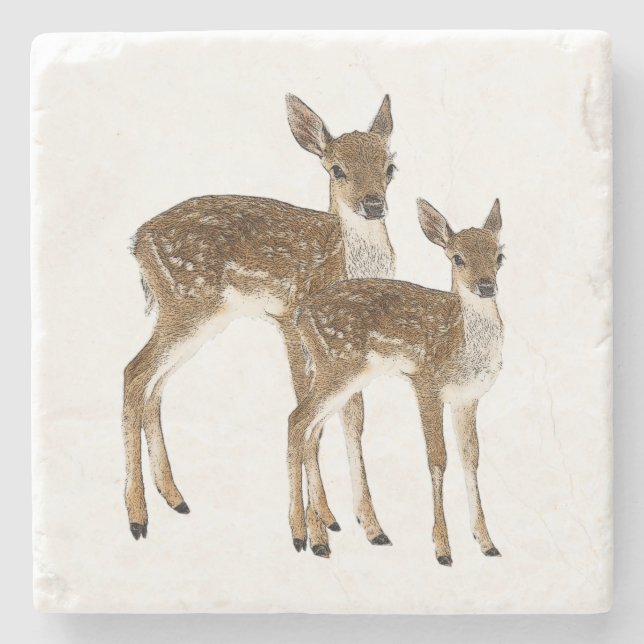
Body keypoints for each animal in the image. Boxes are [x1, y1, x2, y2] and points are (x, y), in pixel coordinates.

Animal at [122, 94, 398, 555]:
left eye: (390, 167)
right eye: (336, 168)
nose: (373, 203)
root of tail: (137, 242)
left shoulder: (348, 346)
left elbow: (351, 418)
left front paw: (367, 526)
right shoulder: (291, 320)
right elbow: (309, 419)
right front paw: (316, 533)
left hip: (197, 318)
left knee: (155, 383)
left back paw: (175, 498)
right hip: (186, 305)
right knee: (134, 372)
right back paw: (138, 519)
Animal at [289, 198, 505, 564]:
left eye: (500, 256)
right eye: (457, 257)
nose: (486, 285)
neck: (461, 344)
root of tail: (301, 315)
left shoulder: (468, 397)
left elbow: (471, 458)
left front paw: (487, 543)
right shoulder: (426, 383)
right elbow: (437, 459)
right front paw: (443, 549)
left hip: (341, 375)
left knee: (311, 430)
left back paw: (328, 529)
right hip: (337, 367)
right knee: (296, 420)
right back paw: (302, 535)